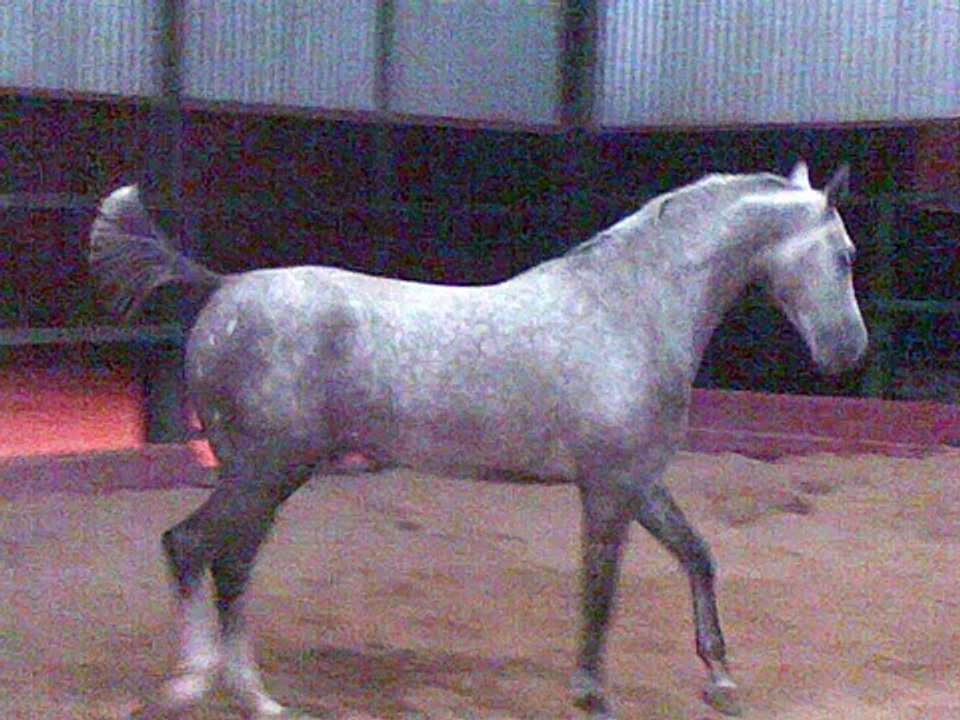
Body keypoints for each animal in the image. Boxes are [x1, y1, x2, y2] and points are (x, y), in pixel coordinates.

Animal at [89, 162, 866, 719]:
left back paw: (241, 693)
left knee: (222, 561)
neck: (631, 309)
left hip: (267, 474)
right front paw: (593, 696)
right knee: (199, 551)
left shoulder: (641, 481)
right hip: (263, 470)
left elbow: (698, 557)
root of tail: (223, 286)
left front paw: (721, 679)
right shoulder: (608, 487)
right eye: (845, 256)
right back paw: (208, 689)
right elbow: (600, 593)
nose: (849, 351)